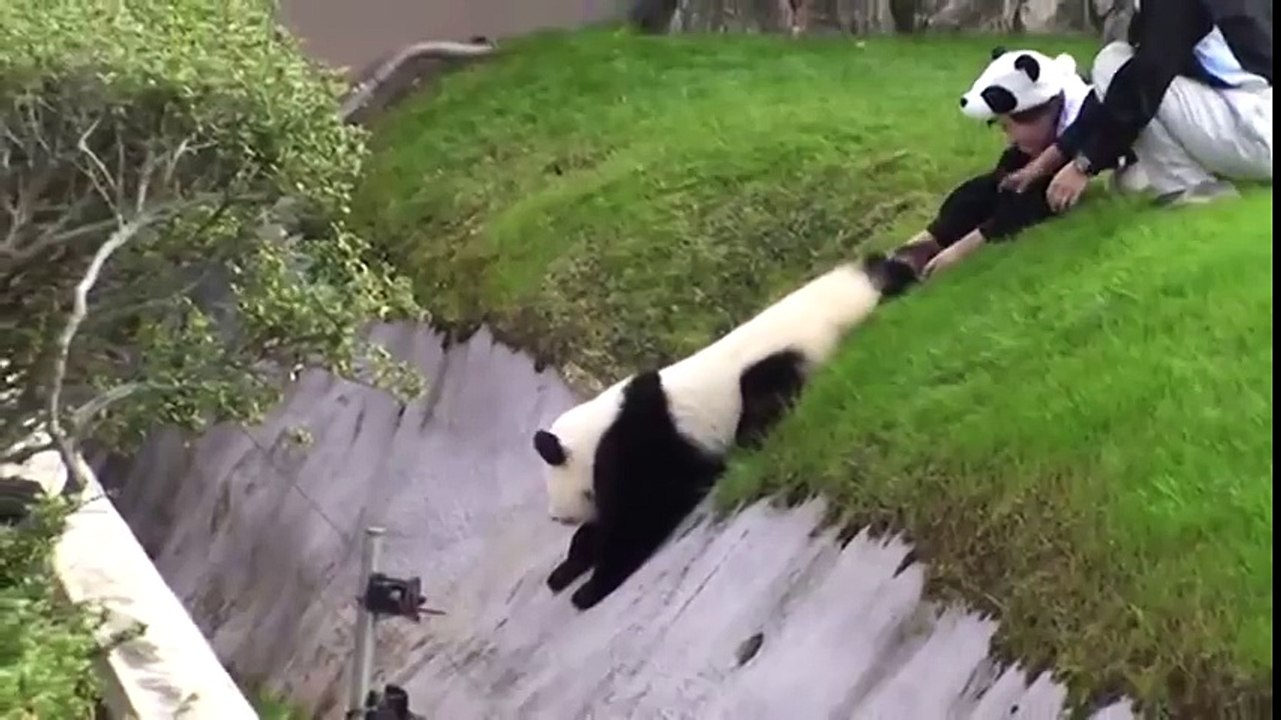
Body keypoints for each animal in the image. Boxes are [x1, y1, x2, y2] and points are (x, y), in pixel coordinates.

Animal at [531, 253, 900, 610]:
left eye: (556, 490)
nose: (555, 516)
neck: (593, 433)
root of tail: (857, 290)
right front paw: (565, 570)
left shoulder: (638, 441)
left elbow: (639, 516)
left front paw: (589, 588)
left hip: (776, 360)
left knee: (763, 403)